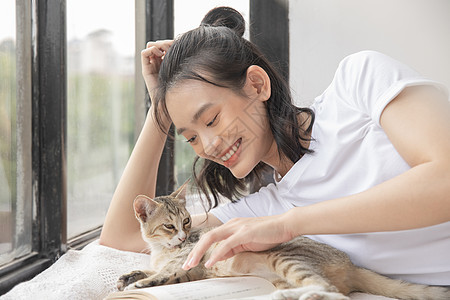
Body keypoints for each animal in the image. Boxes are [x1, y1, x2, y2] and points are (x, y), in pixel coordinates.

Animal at [118, 184, 450, 298]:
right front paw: (128, 277)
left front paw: (139, 285)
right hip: (281, 274)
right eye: (169, 225)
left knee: (331, 292)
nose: (184, 235)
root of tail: (351, 264)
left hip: (285, 258)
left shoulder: (185, 265)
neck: (161, 250)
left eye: (186, 221)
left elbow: (161, 275)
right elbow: (148, 269)